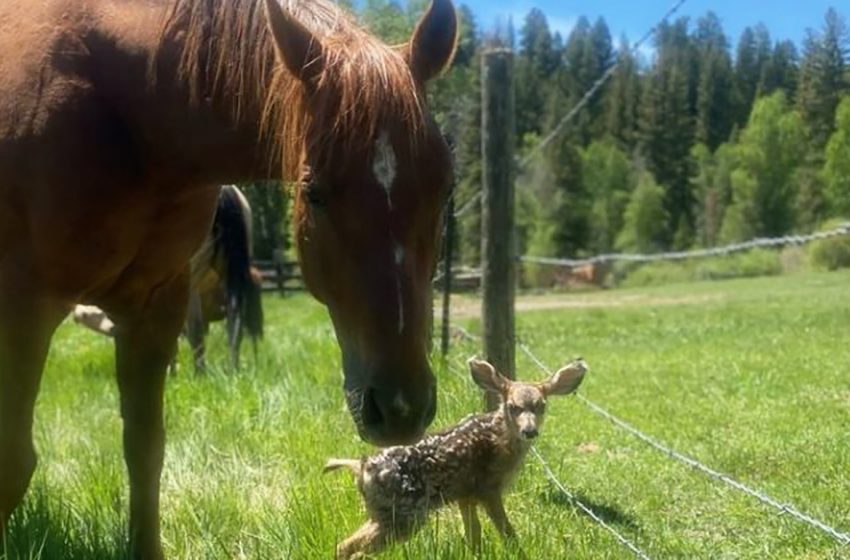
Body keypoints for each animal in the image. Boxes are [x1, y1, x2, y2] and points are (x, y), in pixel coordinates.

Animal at [0, 0, 458, 556]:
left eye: (446, 186)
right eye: (314, 191)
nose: (400, 409)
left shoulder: (156, 307)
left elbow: (145, 450)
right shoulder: (24, 305)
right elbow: (12, 463)